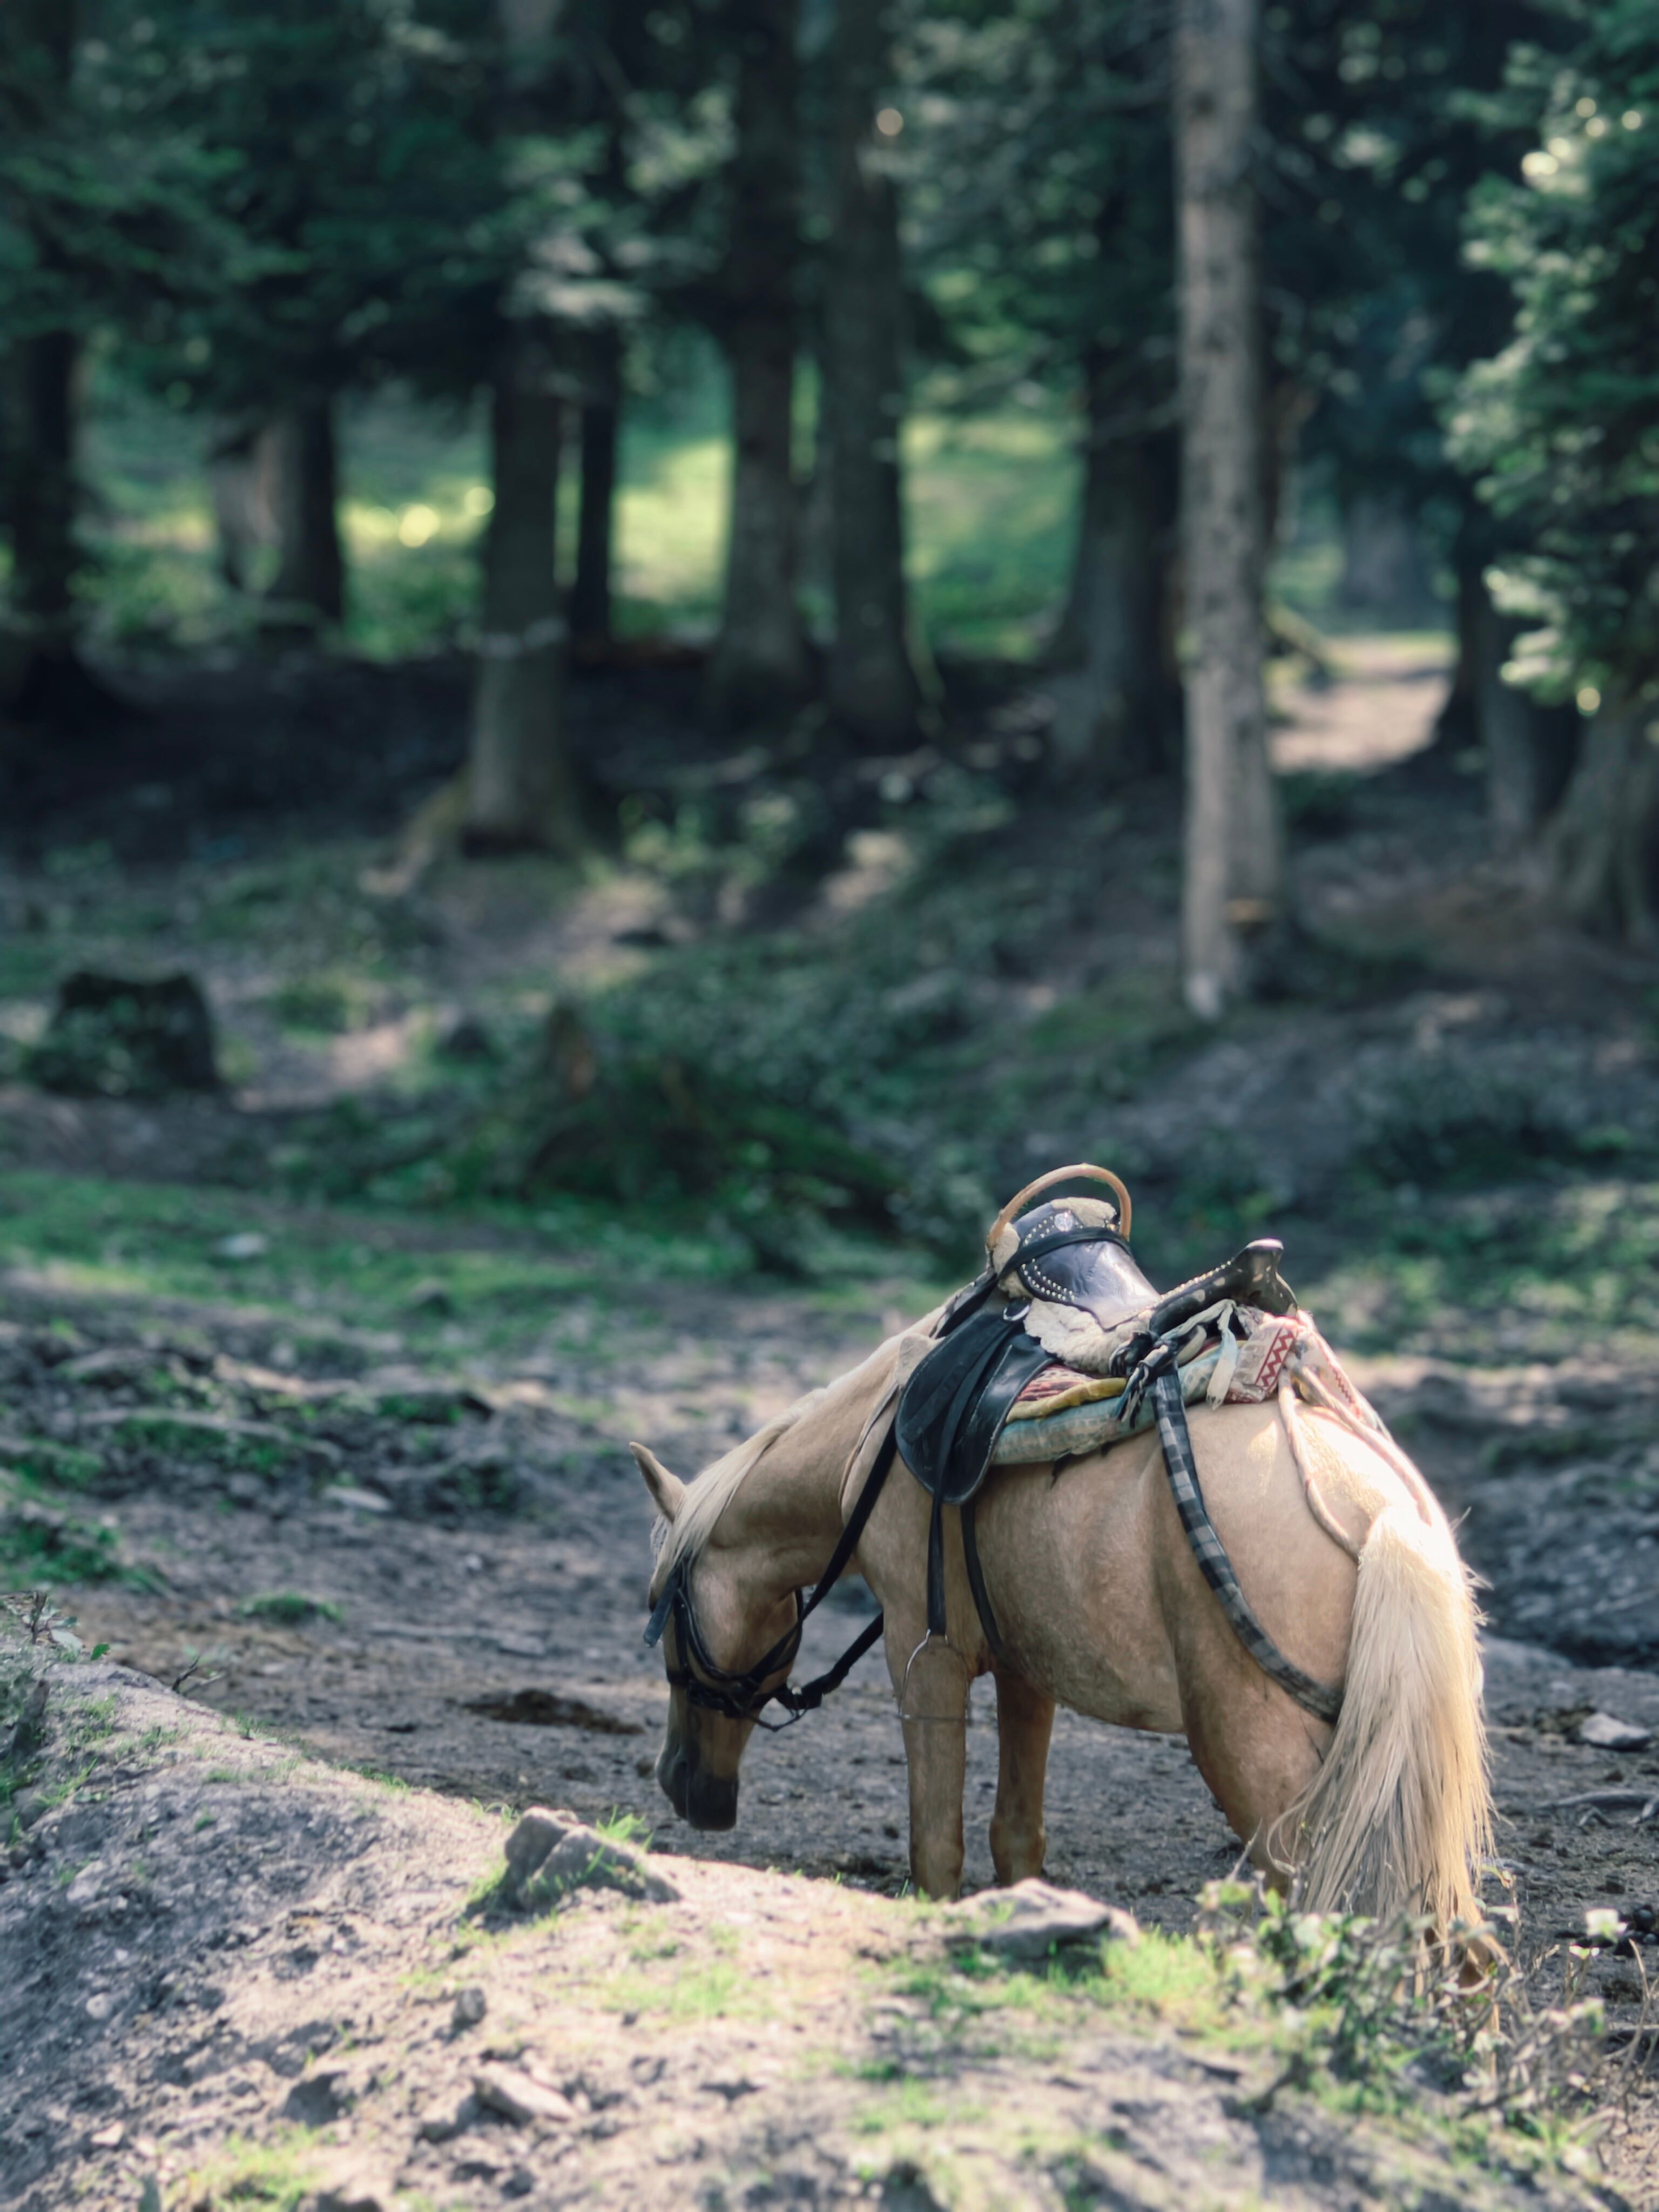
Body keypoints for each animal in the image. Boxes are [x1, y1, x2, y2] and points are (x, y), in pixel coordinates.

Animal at [630, 1302, 1492, 1930]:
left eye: (663, 1607)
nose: (678, 1783)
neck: (869, 1451)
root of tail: (1379, 1511)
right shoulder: (1027, 1670)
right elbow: (1016, 1839)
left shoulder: (924, 1657)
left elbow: (936, 1849)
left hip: (1255, 1761)